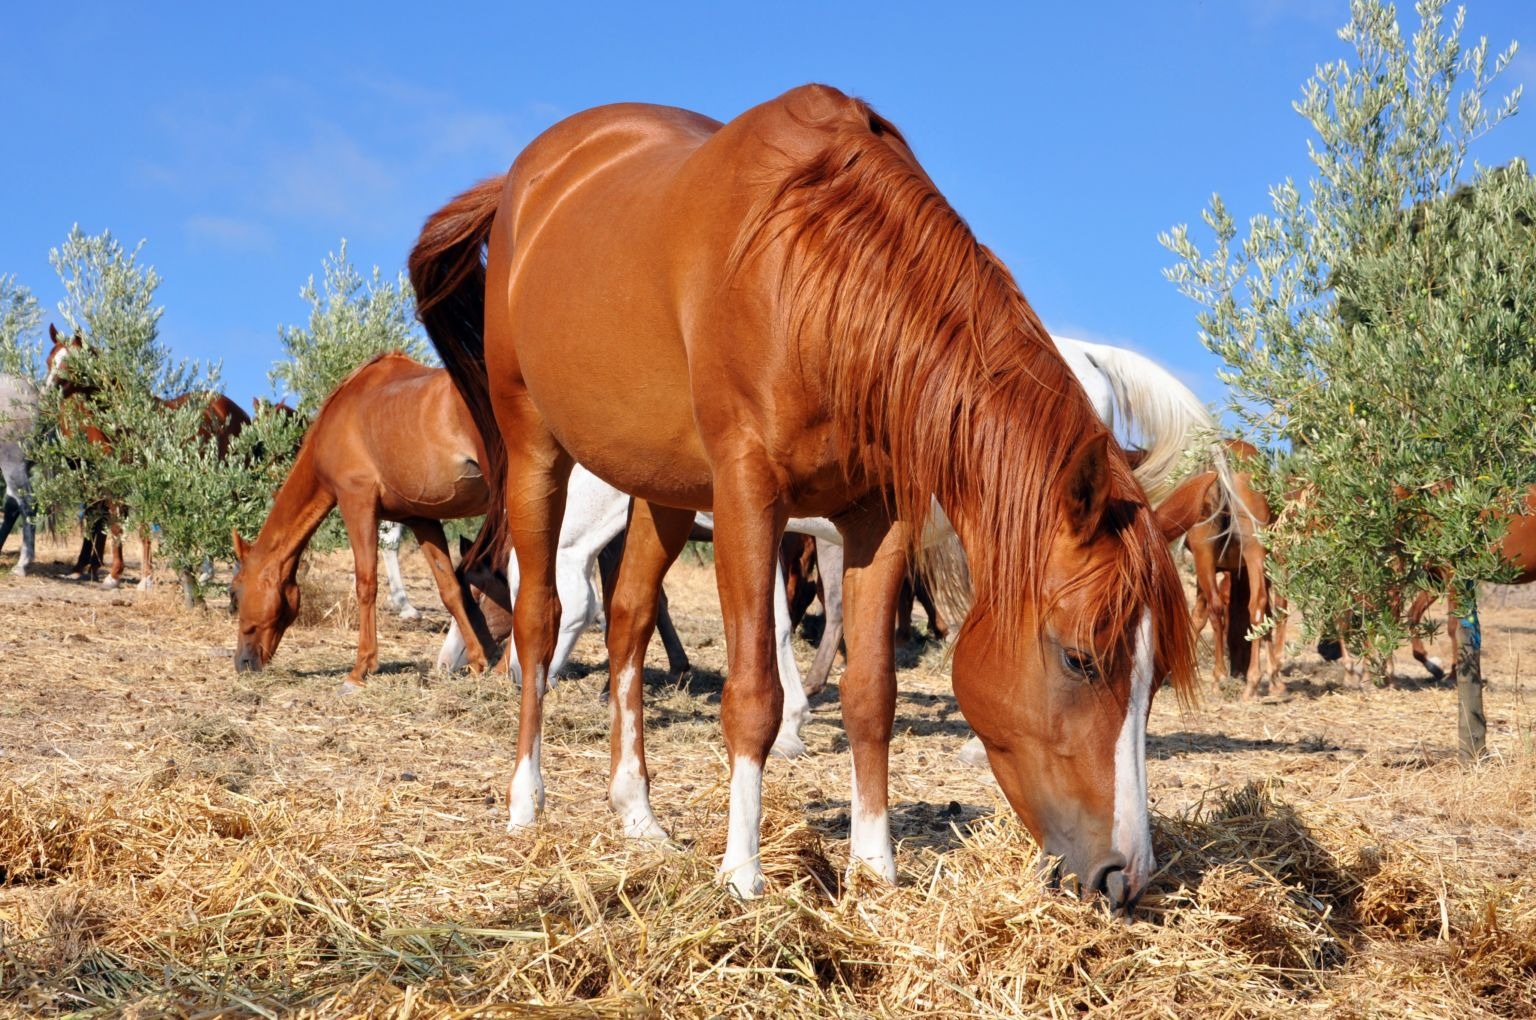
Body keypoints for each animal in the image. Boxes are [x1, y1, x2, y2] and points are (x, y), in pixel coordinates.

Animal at [230, 354, 494, 688]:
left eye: (234, 593)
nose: (242, 663)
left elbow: (366, 584)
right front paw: (478, 662)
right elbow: (450, 588)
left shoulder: (356, 503)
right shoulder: (421, 518)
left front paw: (361, 668)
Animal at [411, 81, 1198, 909]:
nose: (1126, 877)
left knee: (627, 621)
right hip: (536, 448)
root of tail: (525, 181)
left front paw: (874, 867)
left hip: (661, 485)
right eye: (1080, 659)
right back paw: (526, 803)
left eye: (1155, 677)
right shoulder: (749, 499)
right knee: (539, 619)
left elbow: (871, 694)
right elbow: (754, 689)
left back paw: (638, 815)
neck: (815, 277)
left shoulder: (877, 517)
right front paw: (743, 872)